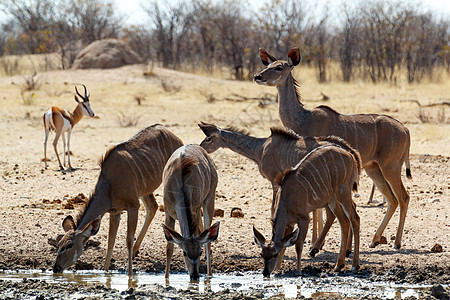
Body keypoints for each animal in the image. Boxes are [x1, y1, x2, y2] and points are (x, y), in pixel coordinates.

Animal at [53, 124, 185, 274]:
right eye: (59, 243)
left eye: (69, 245)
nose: (56, 268)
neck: (109, 185)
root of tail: (174, 136)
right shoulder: (115, 211)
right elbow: (111, 241)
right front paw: (105, 271)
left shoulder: (133, 206)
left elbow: (128, 240)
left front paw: (130, 274)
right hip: (145, 191)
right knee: (153, 207)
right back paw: (135, 251)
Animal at [163, 144, 221, 280]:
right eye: (184, 252)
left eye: (199, 252)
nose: (194, 275)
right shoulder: (168, 213)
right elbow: (169, 248)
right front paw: (166, 278)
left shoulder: (195, 209)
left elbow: (202, 238)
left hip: (209, 199)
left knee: (207, 240)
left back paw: (209, 275)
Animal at [200, 122, 352, 262]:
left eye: (208, 138)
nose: (201, 148)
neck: (261, 149)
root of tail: (349, 152)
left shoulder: (274, 182)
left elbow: (273, 209)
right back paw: (340, 249)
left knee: (337, 214)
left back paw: (319, 248)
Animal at [253, 48, 412, 250]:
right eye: (268, 65)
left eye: (279, 67)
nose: (257, 76)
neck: (303, 119)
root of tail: (405, 130)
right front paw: (317, 242)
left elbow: (318, 209)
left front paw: (316, 243)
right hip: (373, 168)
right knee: (392, 199)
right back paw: (374, 240)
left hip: (390, 167)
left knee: (403, 197)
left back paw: (397, 242)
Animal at [253, 139, 362, 278]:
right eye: (262, 254)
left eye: (274, 254)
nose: (266, 273)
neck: (286, 197)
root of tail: (350, 156)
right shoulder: (289, 223)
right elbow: (285, 244)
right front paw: (277, 269)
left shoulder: (304, 219)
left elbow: (298, 245)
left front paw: (298, 270)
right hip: (332, 199)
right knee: (344, 221)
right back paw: (338, 265)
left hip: (343, 193)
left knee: (354, 218)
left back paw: (354, 265)